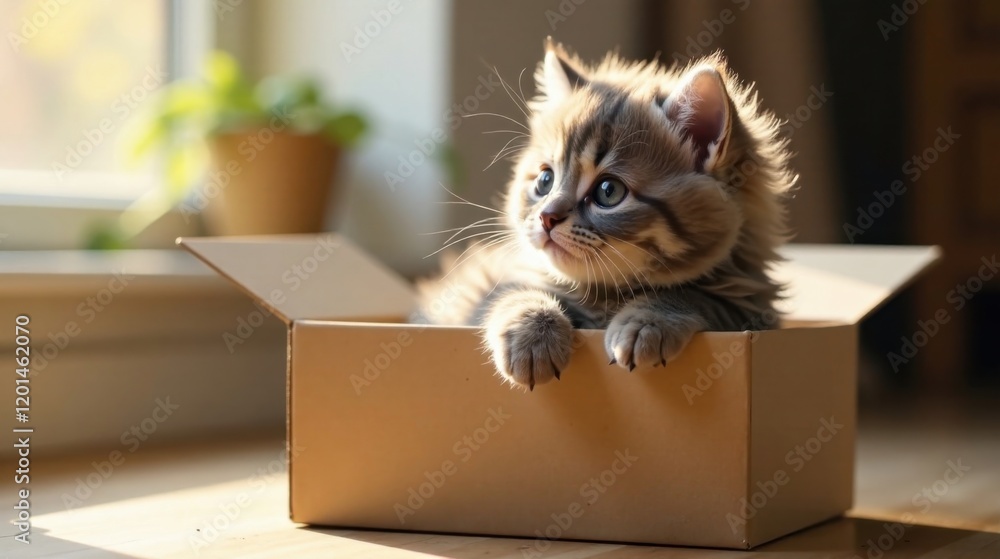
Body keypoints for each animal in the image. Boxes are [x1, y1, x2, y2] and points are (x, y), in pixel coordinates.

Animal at [418, 41, 792, 392]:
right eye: (545, 181)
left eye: (608, 192)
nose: (546, 218)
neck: (603, 298)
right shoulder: (492, 283)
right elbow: (511, 292)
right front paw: (532, 334)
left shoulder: (755, 311)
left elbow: (696, 295)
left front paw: (647, 322)